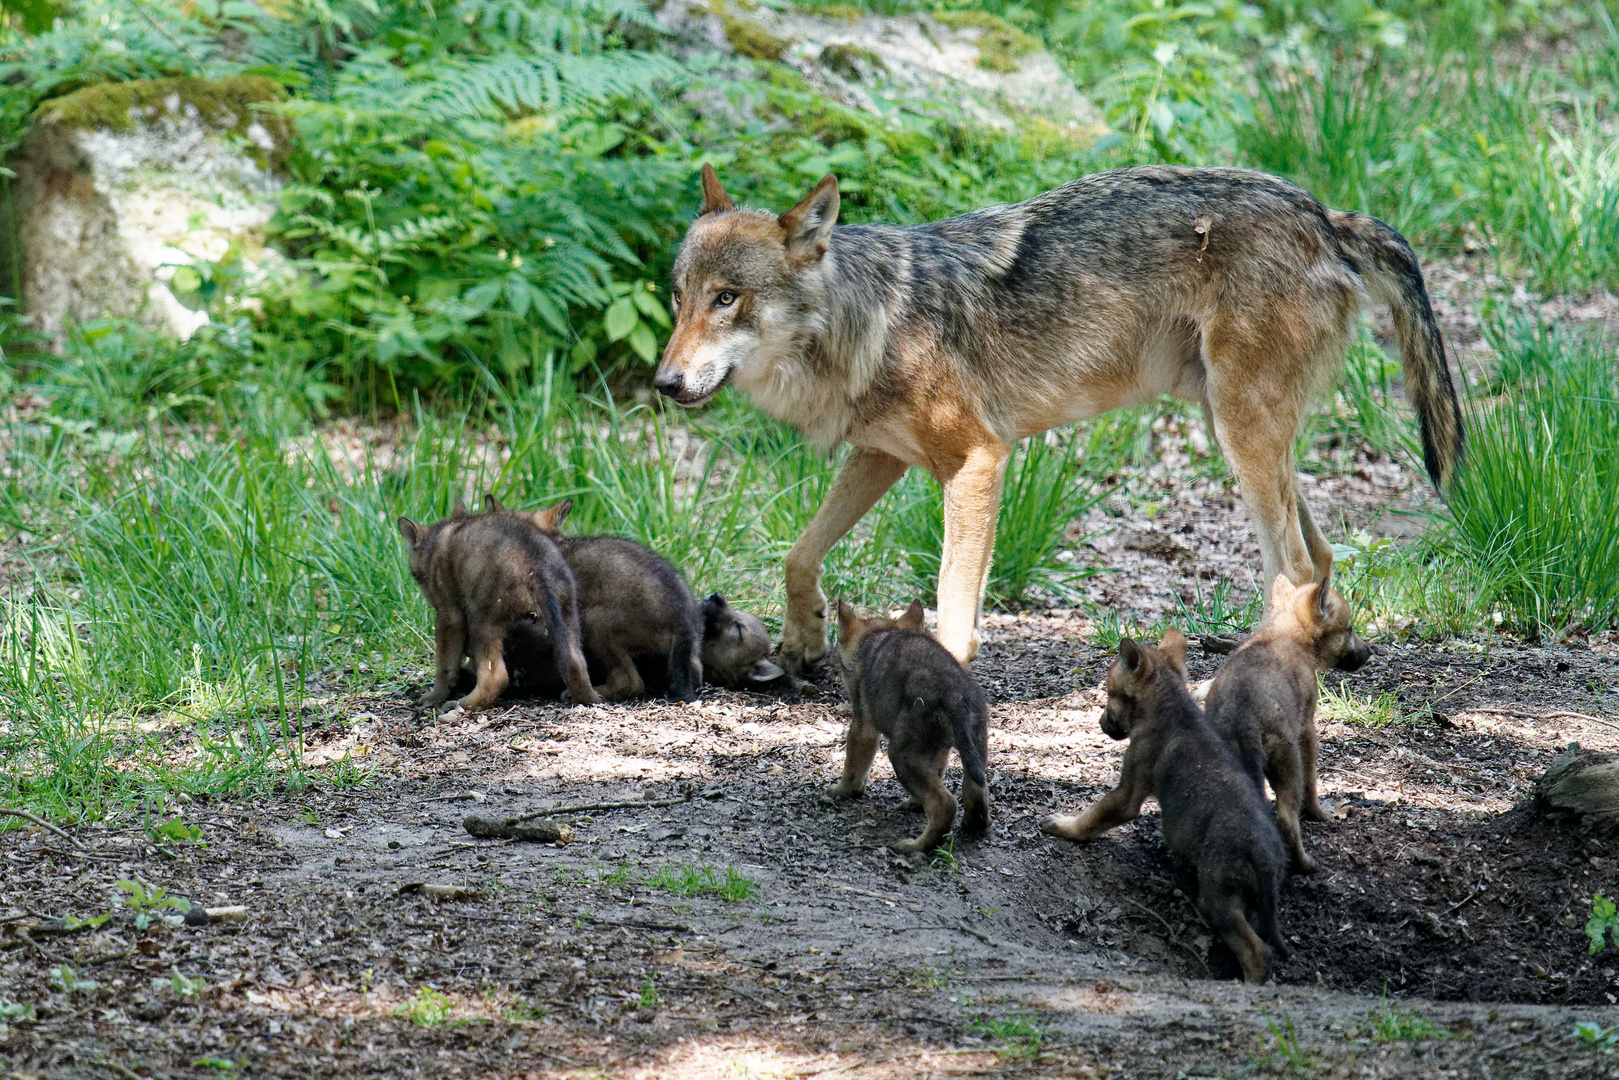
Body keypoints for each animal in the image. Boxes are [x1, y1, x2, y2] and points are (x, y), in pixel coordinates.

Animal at [650, 161, 1463, 670]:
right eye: (680, 298)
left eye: (728, 299)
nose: (663, 382)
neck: (869, 324)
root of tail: (1325, 213)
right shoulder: (880, 456)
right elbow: (799, 554)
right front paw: (804, 639)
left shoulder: (977, 460)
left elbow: (952, 606)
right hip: (1235, 429)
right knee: (1319, 561)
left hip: (1240, 431)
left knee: (1292, 568)